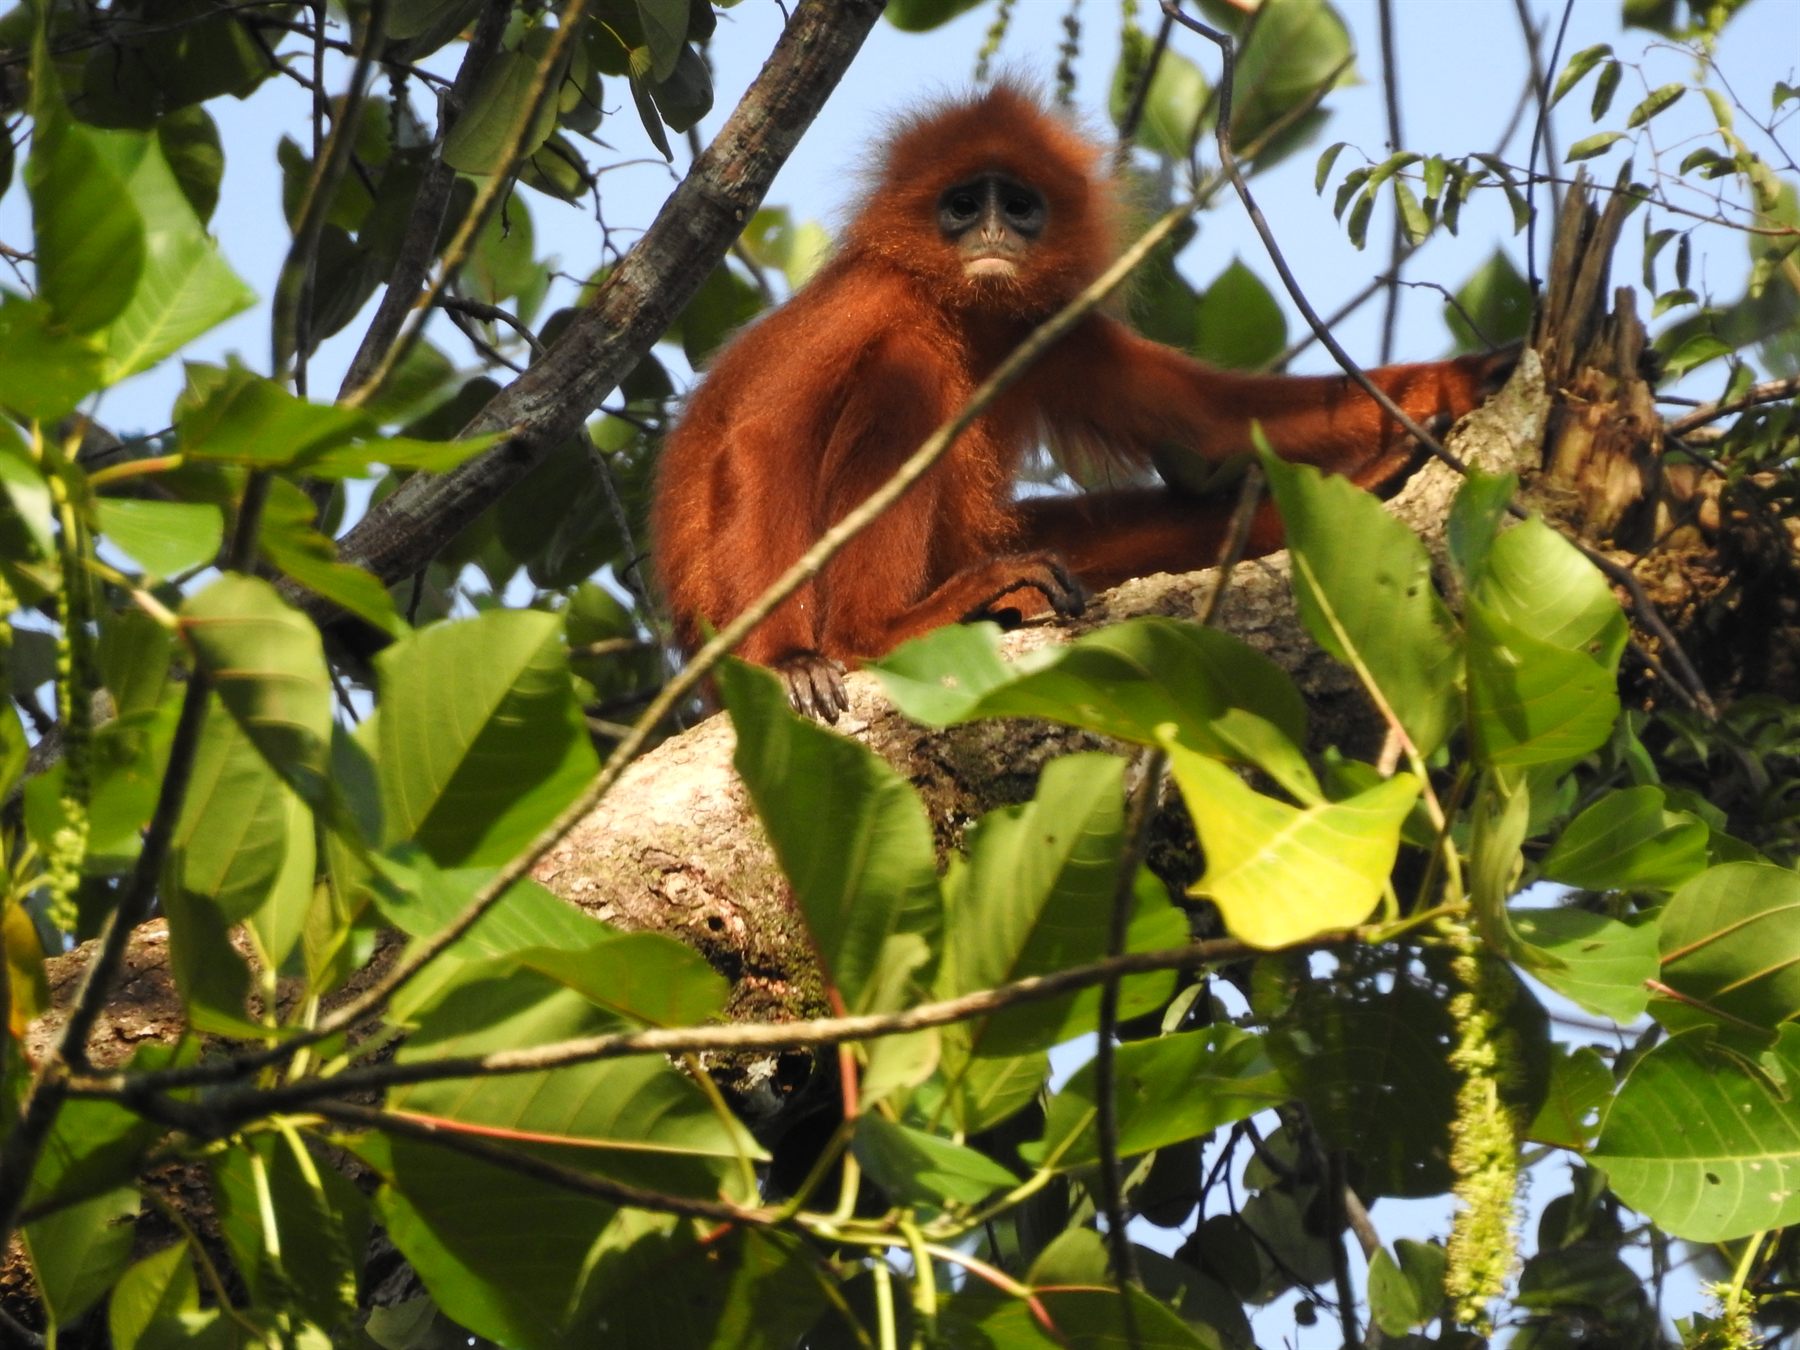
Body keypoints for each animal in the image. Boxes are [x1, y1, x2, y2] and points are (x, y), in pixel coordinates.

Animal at [652, 84, 1509, 722]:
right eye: (963, 205)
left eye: (1018, 206)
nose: (993, 233)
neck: (962, 310)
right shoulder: (869, 294)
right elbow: (763, 440)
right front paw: (787, 658)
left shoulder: (1052, 327)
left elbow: (1211, 417)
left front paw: (1468, 377)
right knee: (901, 371)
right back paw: (886, 629)